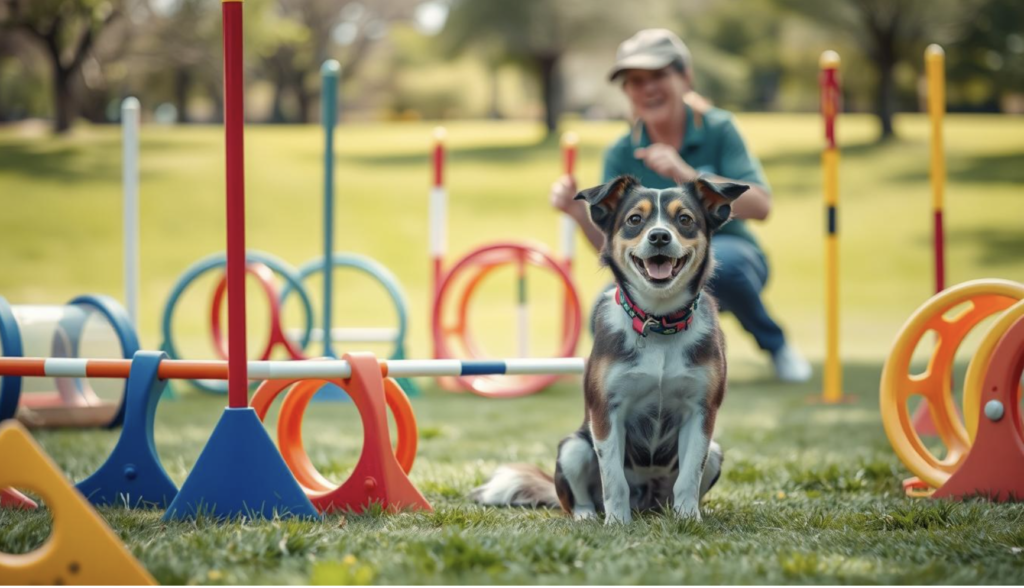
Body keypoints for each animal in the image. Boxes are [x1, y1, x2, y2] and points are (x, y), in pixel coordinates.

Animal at [468, 175, 749, 524]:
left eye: (685, 219)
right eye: (634, 219)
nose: (659, 236)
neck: (658, 323)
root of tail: (647, 504)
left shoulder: (701, 412)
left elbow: (688, 478)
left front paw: (689, 520)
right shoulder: (606, 411)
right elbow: (613, 479)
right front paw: (617, 523)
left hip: (714, 452)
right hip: (573, 448)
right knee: (578, 499)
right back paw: (588, 516)